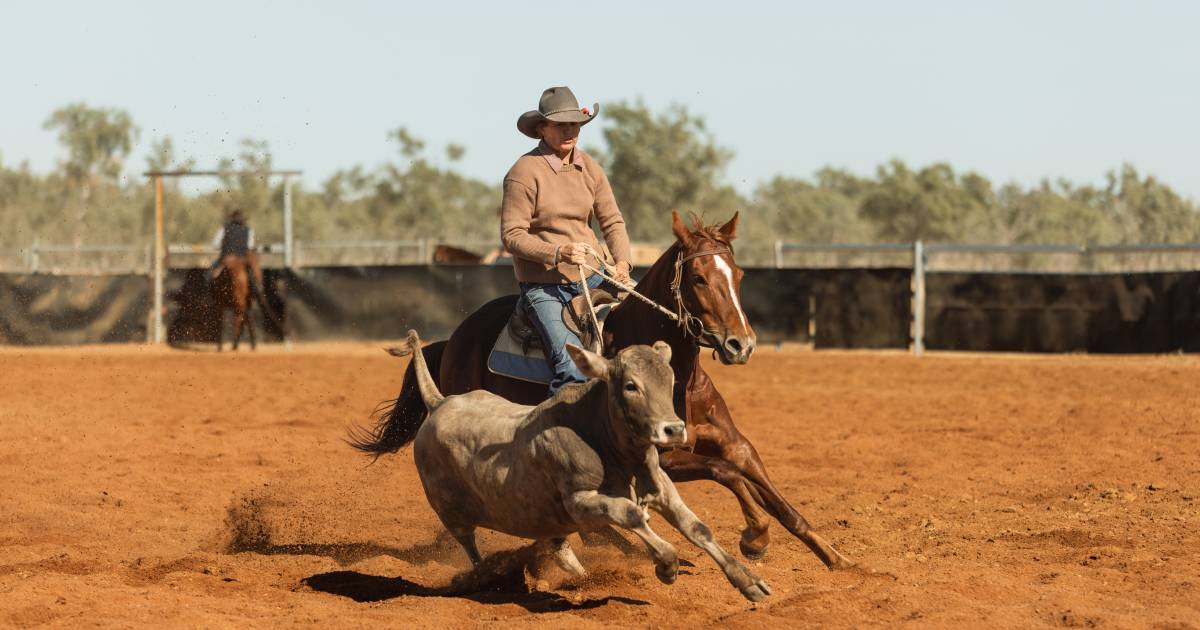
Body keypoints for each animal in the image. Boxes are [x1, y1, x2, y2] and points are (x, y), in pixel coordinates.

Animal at [350, 212, 859, 568]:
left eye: (739, 275)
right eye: (698, 278)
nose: (741, 344)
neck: (676, 378)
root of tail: (455, 337)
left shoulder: (736, 443)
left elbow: (770, 491)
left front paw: (835, 556)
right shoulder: (662, 456)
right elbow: (726, 475)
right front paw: (755, 537)